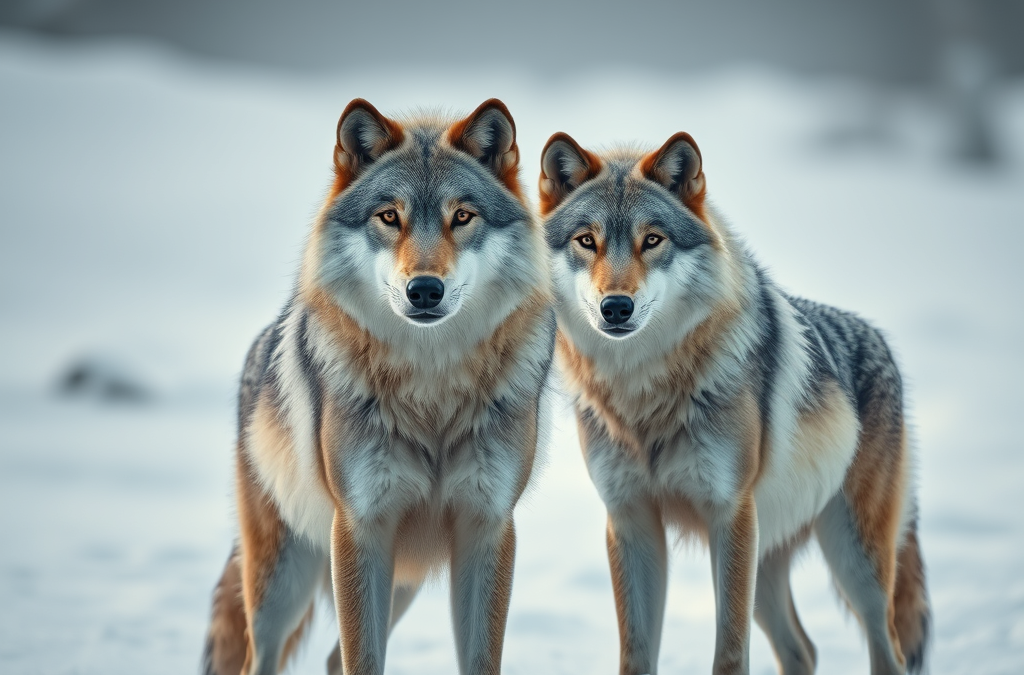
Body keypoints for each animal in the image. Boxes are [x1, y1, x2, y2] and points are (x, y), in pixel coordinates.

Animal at [201, 98, 555, 675]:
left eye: (462, 216)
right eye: (390, 216)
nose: (425, 289)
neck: (431, 391)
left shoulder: (487, 529)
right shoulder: (360, 528)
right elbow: (362, 660)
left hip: (401, 580)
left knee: (329, 660)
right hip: (285, 579)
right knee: (264, 658)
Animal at [538, 131, 930, 675]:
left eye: (652, 240)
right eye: (586, 241)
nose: (616, 307)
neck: (644, 394)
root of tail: (879, 340)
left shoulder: (730, 513)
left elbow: (728, 653)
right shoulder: (631, 521)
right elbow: (636, 655)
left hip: (853, 563)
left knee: (886, 648)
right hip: (767, 564)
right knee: (803, 649)